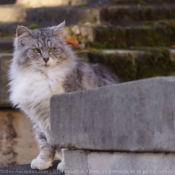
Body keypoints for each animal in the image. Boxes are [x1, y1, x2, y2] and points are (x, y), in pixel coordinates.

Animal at [7, 21, 120, 172]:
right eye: (36, 50)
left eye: (52, 49)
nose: (46, 59)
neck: (43, 78)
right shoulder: (38, 120)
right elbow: (45, 145)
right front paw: (43, 162)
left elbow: (67, 146)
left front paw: (67, 165)